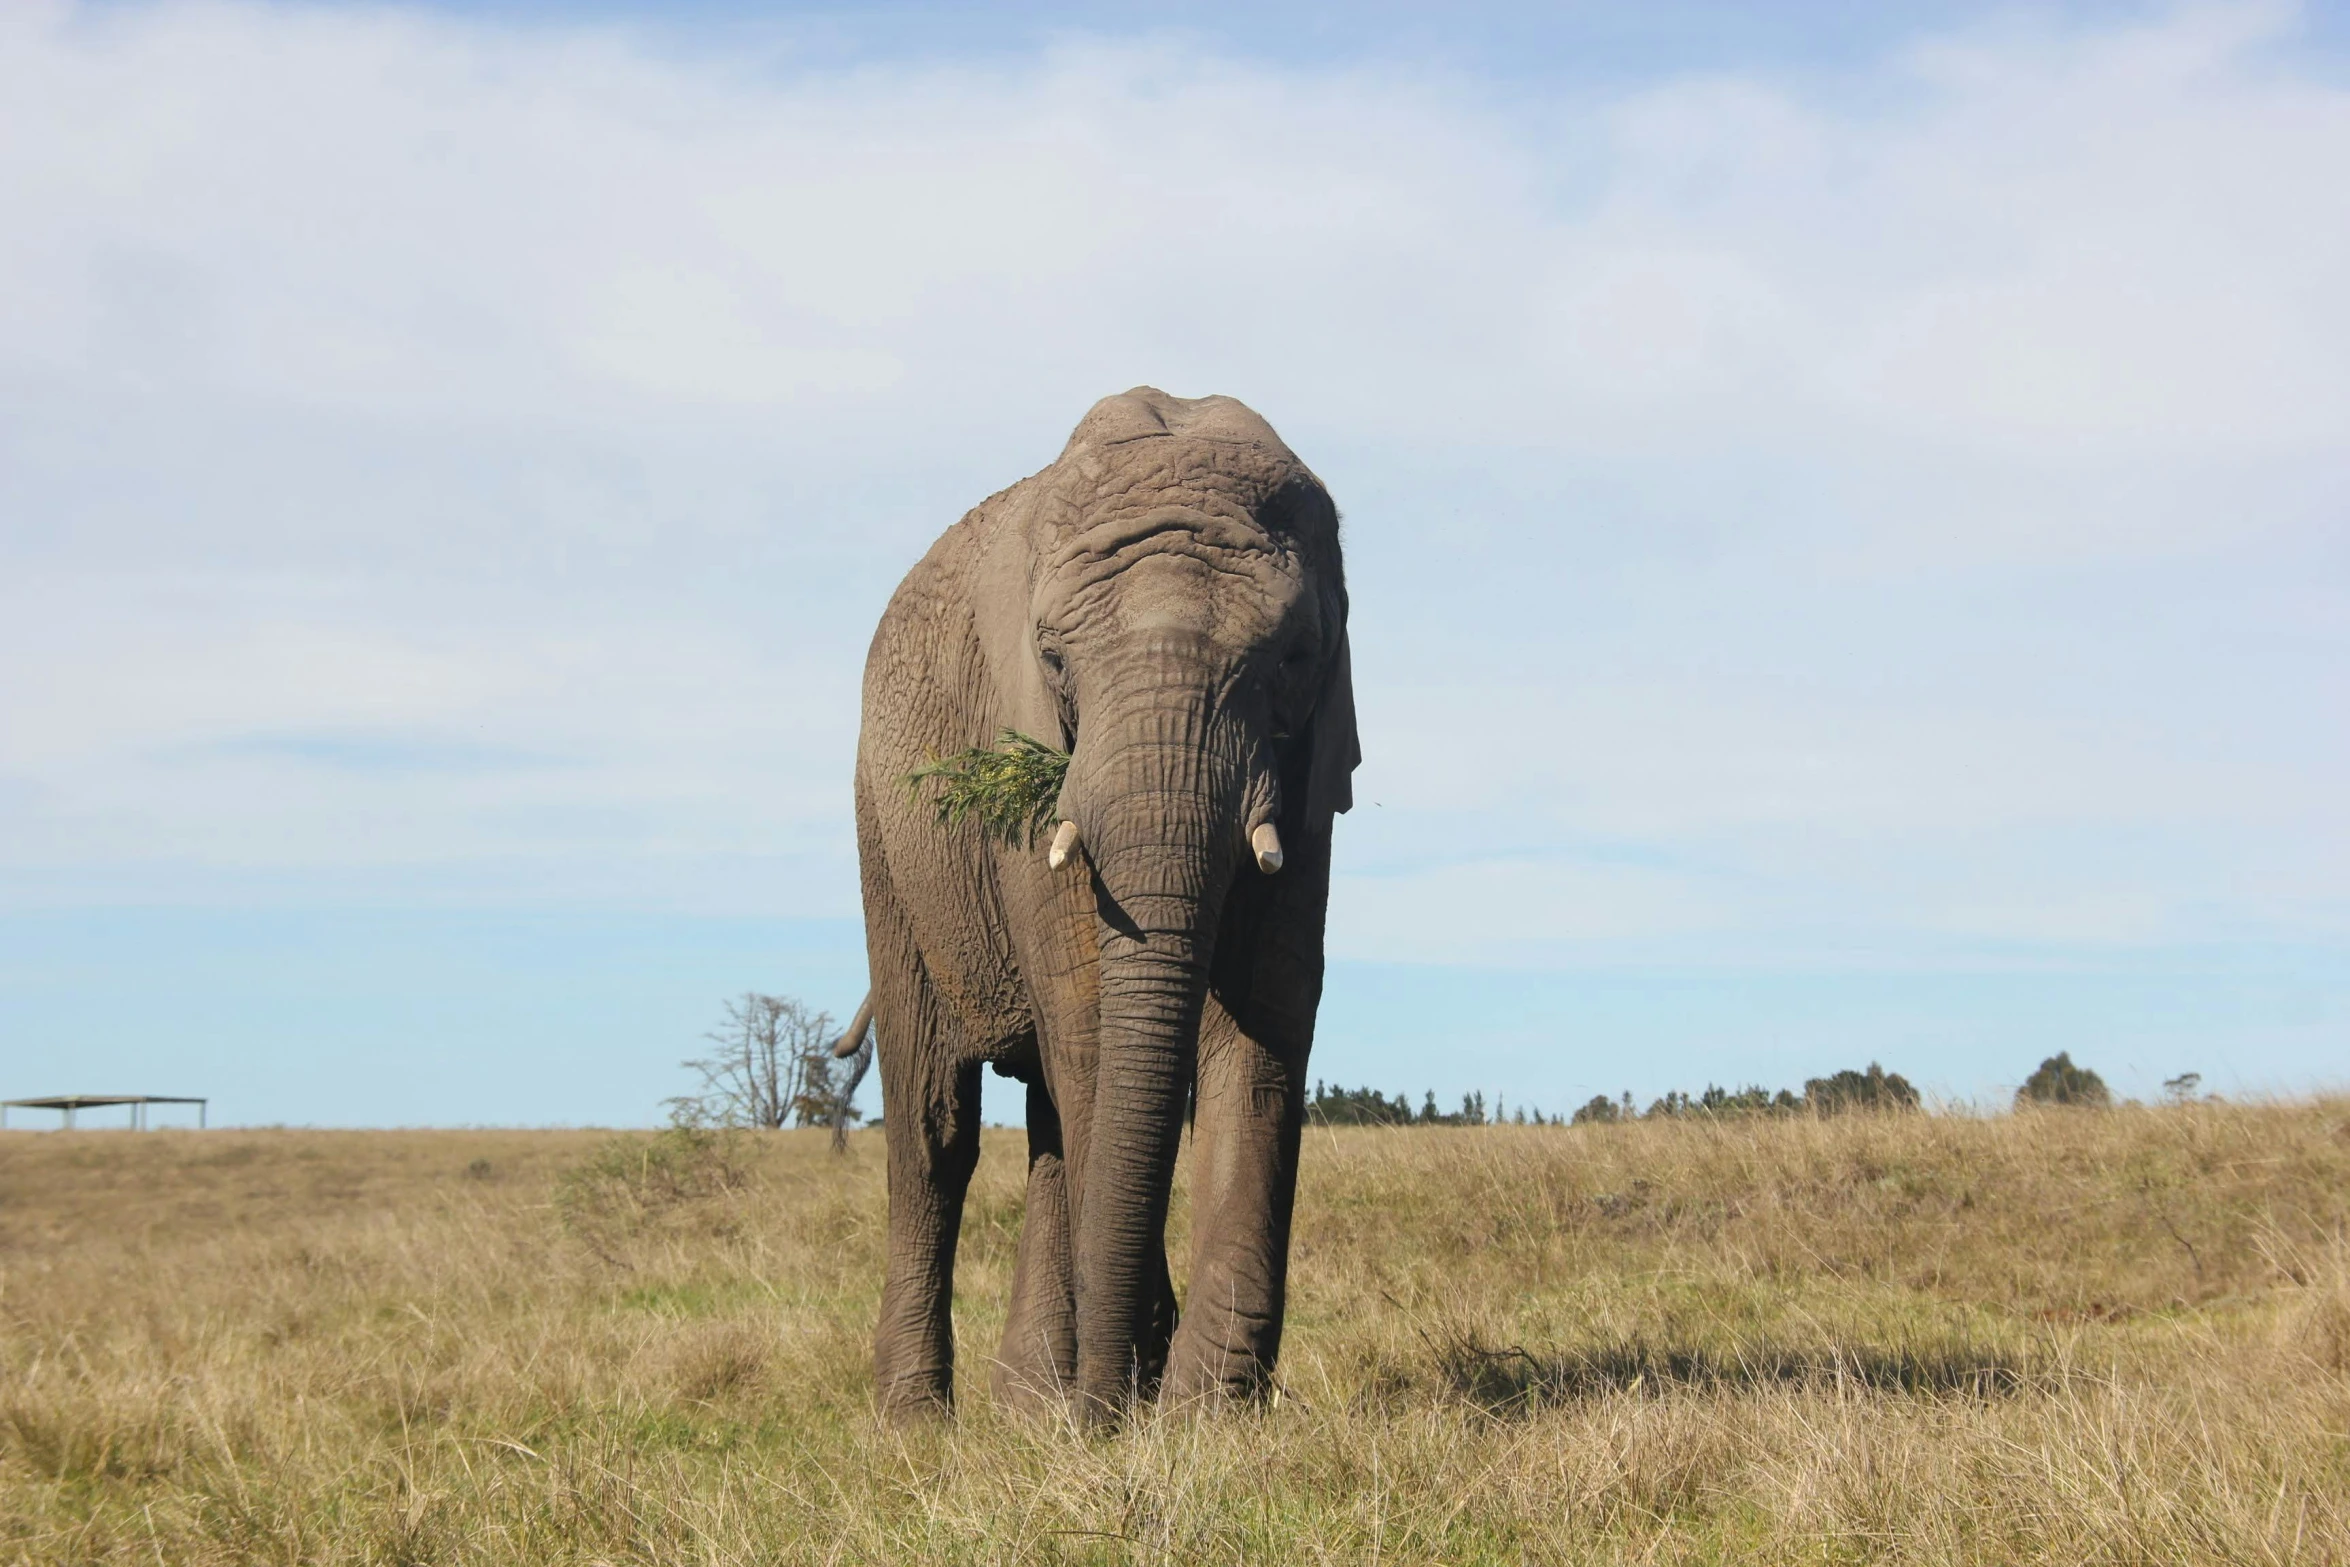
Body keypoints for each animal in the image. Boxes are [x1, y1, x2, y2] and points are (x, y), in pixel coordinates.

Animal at [845, 389, 1363, 1418]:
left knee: (1047, 1108)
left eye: (1294, 658)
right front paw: (1138, 1391)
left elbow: (1266, 1019)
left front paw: (1207, 1412)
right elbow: (1089, 1022)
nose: (1114, 1401)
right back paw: (919, 1424)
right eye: (1052, 661)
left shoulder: (1308, 773)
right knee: (935, 1129)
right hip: (884, 834)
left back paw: (1031, 1406)